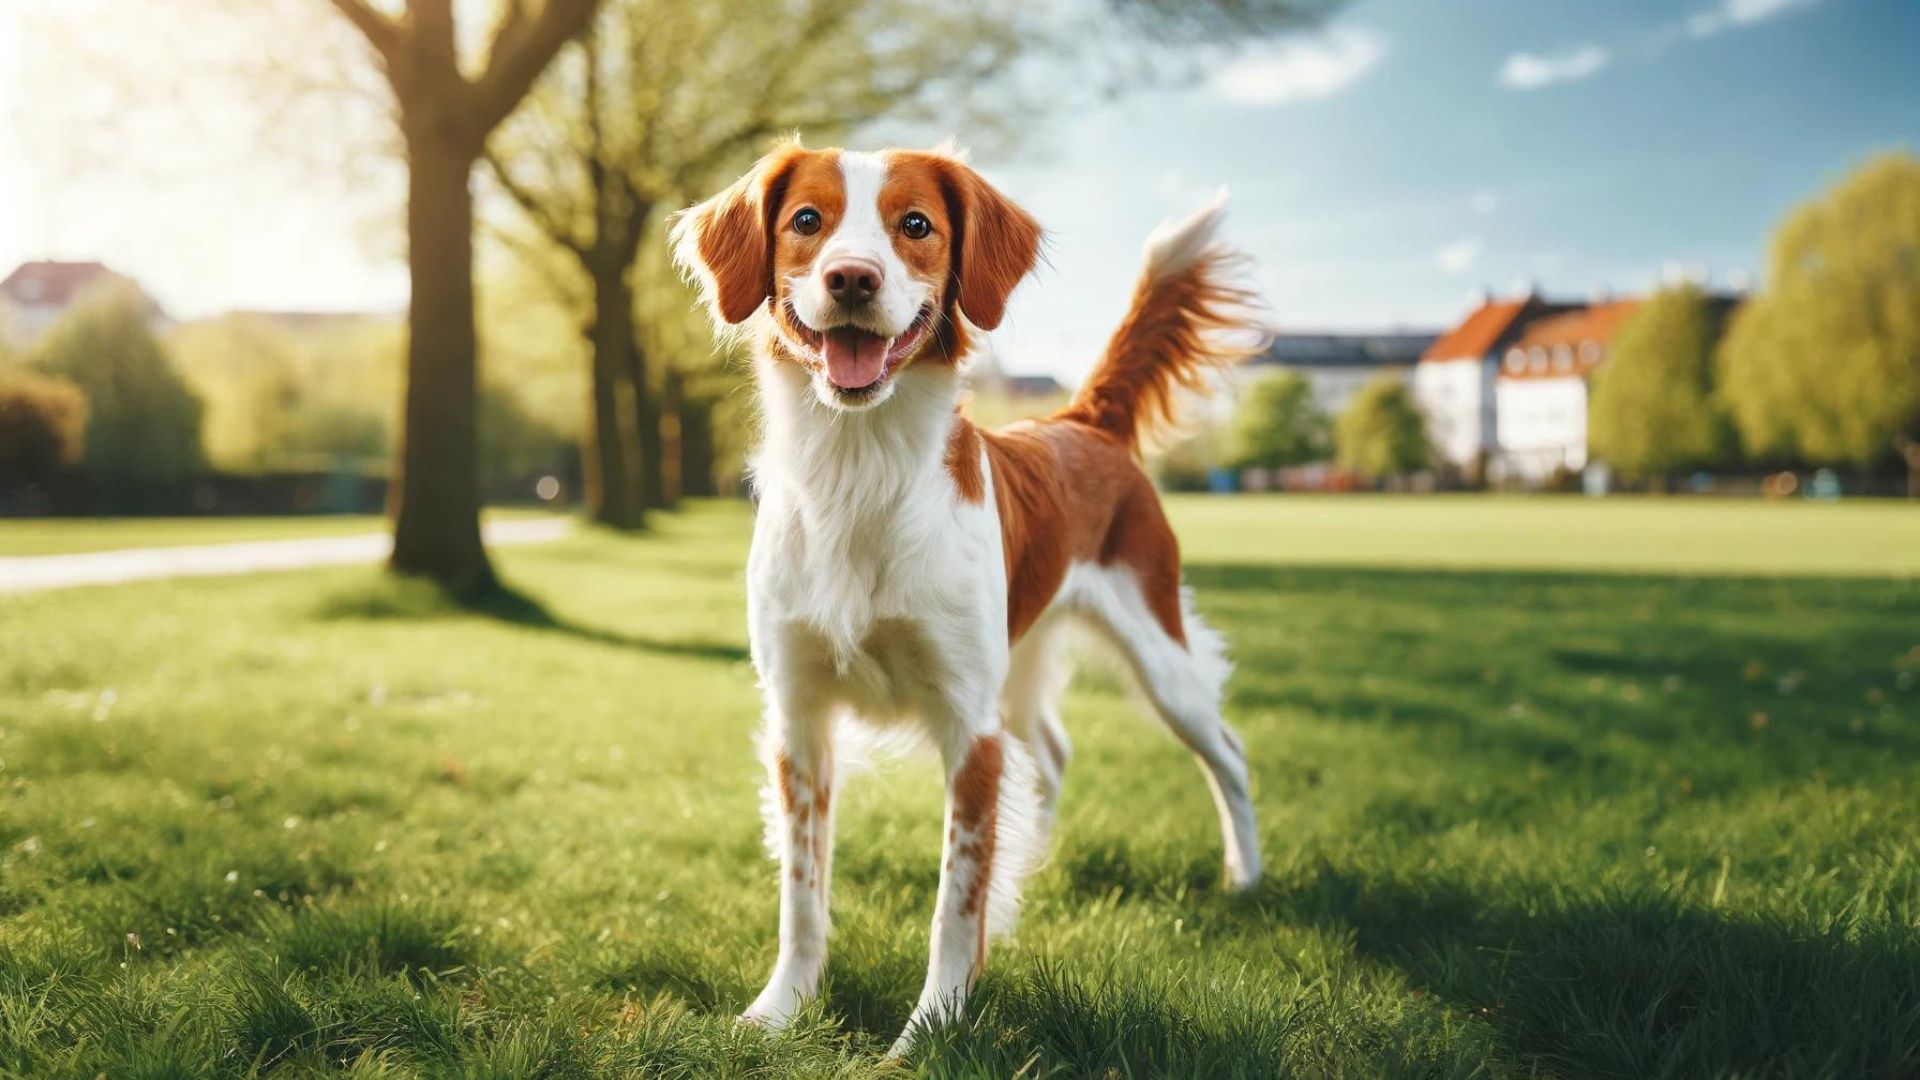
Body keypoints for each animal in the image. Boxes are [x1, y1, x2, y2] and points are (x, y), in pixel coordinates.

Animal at [672, 141, 1259, 1053]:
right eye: (806, 219)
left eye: (916, 225)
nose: (851, 278)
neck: (860, 473)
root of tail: (1082, 422)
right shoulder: (799, 720)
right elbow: (802, 893)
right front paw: (780, 1011)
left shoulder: (969, 729)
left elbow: (956, 901)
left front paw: (929, 1034)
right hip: (1020, 668)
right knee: (1051, 752)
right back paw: (1037, 870)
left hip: (1159, 654)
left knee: (1225, 750)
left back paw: (1244, 878)